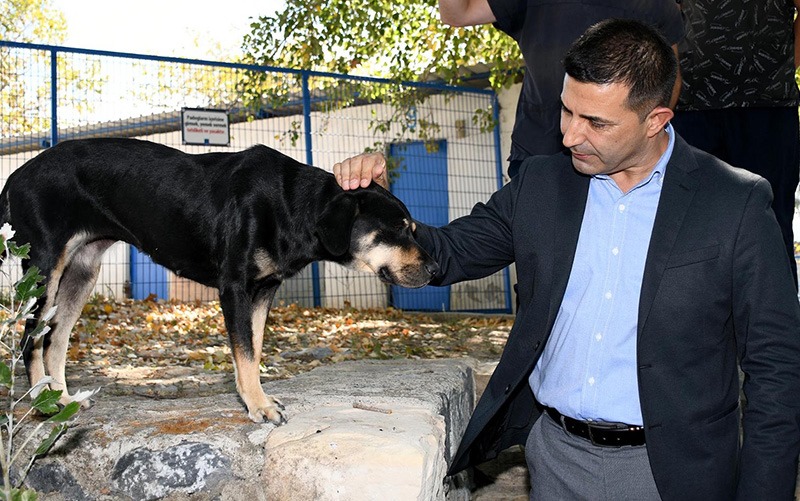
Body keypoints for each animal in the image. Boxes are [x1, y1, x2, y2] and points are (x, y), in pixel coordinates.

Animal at [0, 139, 438, 424]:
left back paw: (63, 397)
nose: (435, 270)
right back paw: (43, 404)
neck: (290, 206)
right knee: (30, 339)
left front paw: (253, 397)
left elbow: (253, 351)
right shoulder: (235, 289)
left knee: (55, 340)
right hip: (44, 270)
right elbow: (244, 352)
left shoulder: (263, 291)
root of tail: (15, 176)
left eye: (413, 227)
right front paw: (259, 407)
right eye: (399, 228)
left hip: (81, 273)